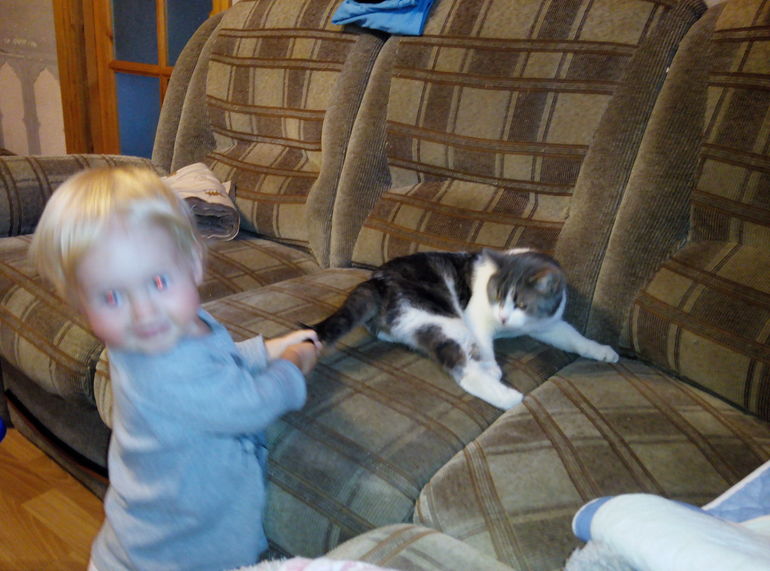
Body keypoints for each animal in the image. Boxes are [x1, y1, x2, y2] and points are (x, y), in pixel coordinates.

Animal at [313, 248, 619, 410]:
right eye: (496, 295)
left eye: (521, 304)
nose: (504, 318)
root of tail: (376, 280)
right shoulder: (475, 318)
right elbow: (484, 343)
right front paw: (491, 365)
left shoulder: (548, 325)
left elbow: (575, 338)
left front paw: (603, 351)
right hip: (443, 318)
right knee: (463, 369)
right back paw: (506, 396)